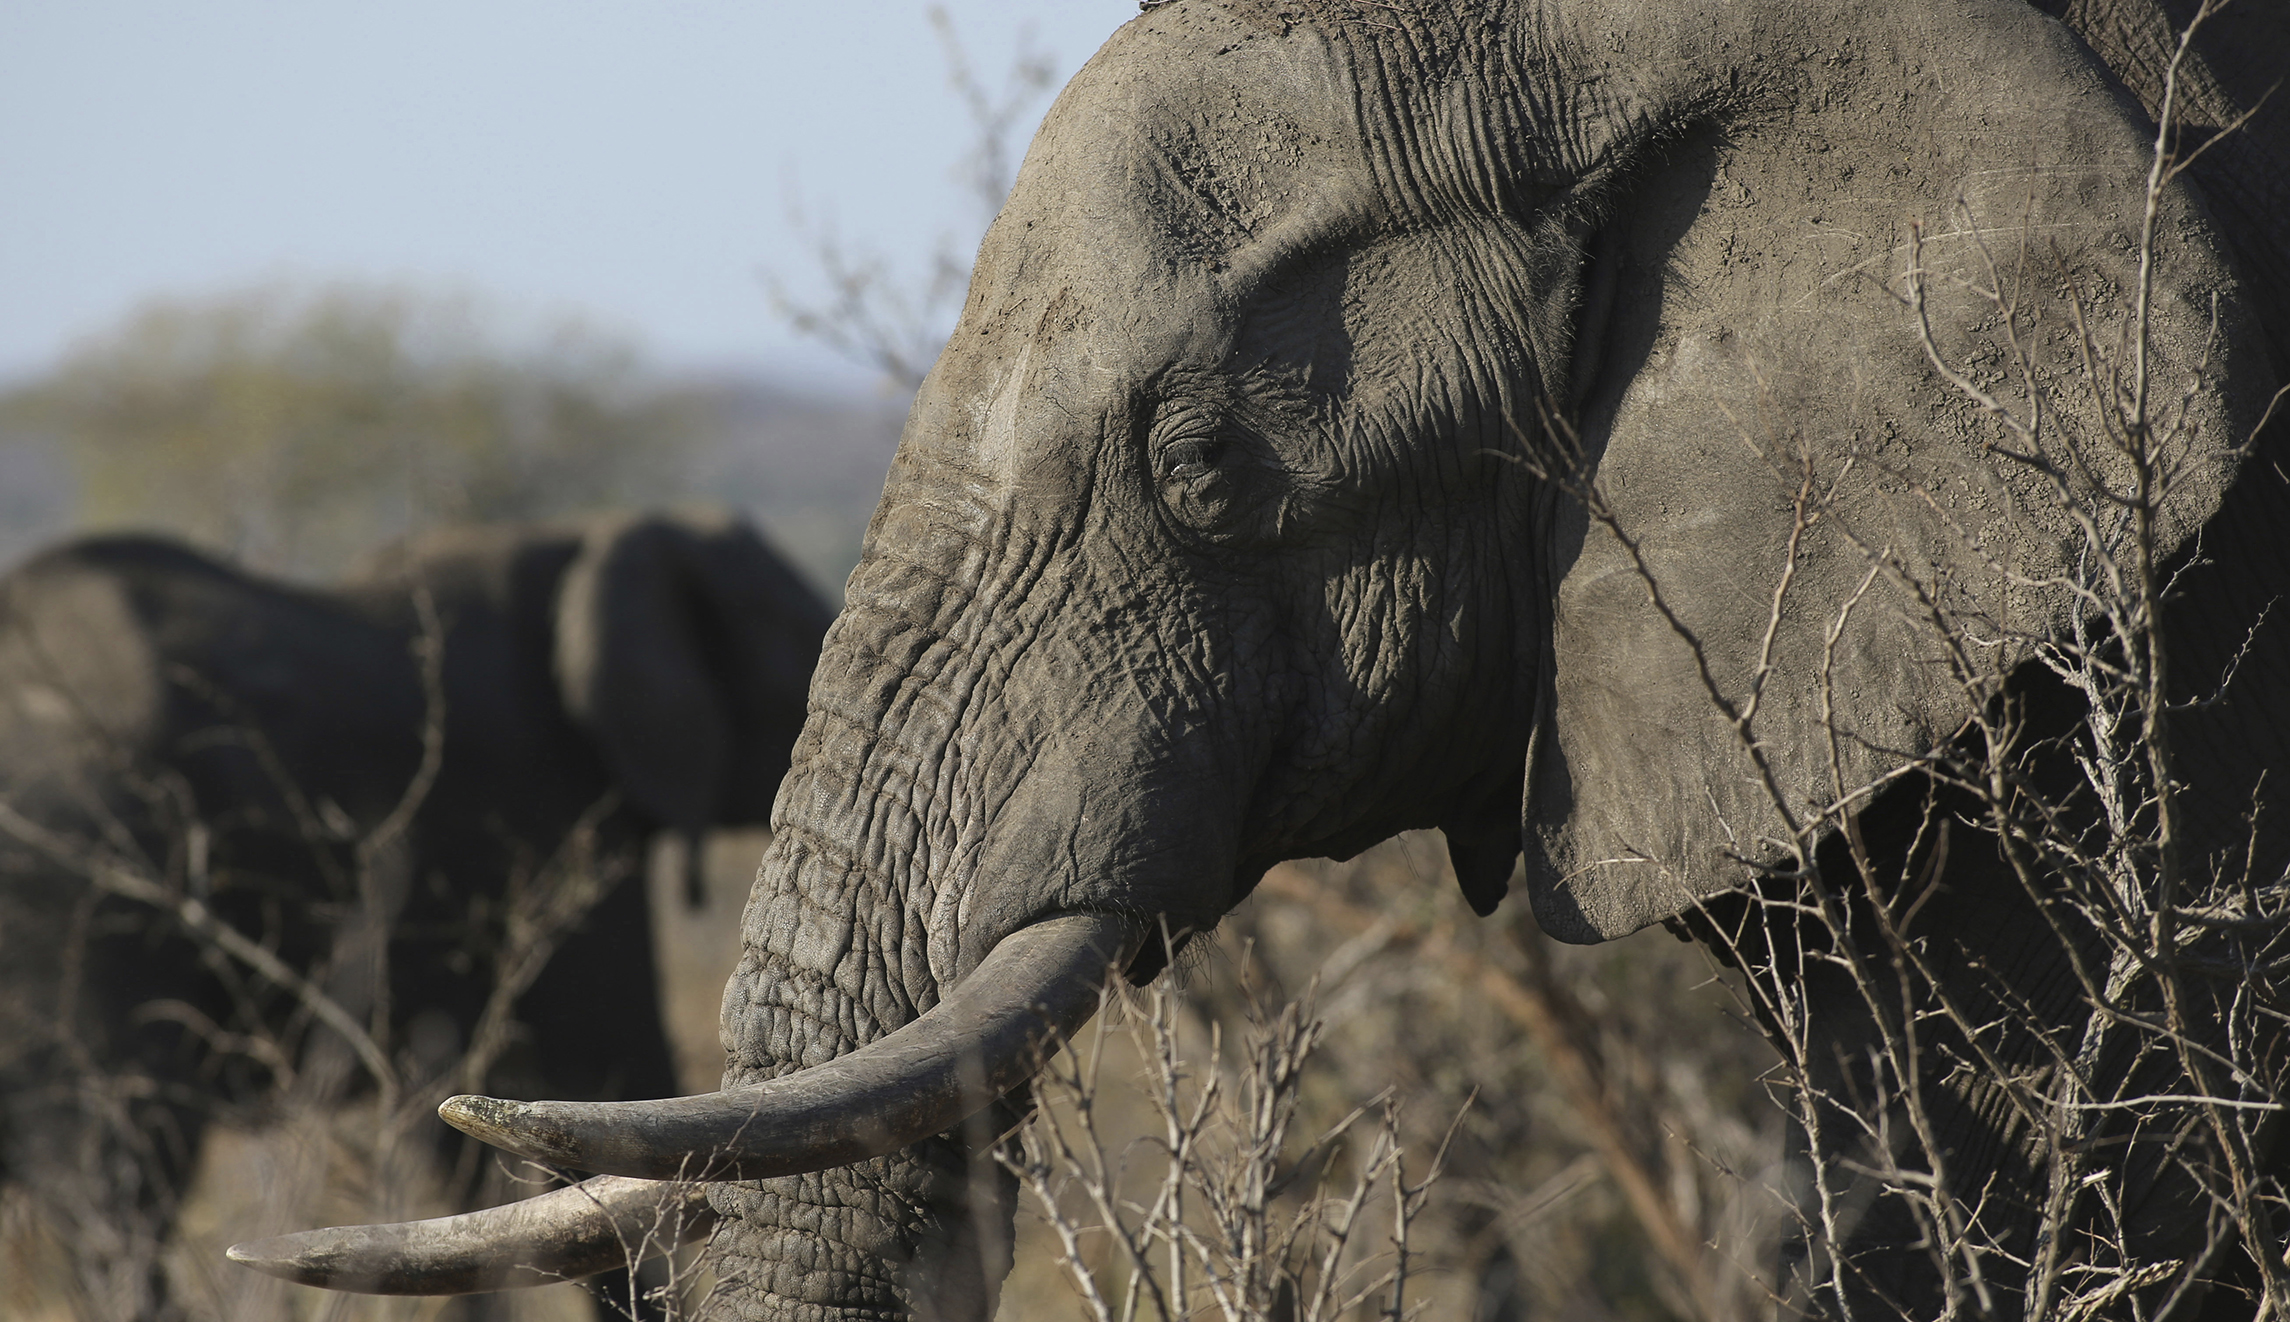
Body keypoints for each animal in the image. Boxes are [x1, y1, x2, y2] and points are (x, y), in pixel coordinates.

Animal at [0, 509, 830, 1320]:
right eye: (800, 640)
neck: (587, 540)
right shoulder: (549, 811)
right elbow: (604, 1061)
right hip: (75, 890)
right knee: (113, 1182)